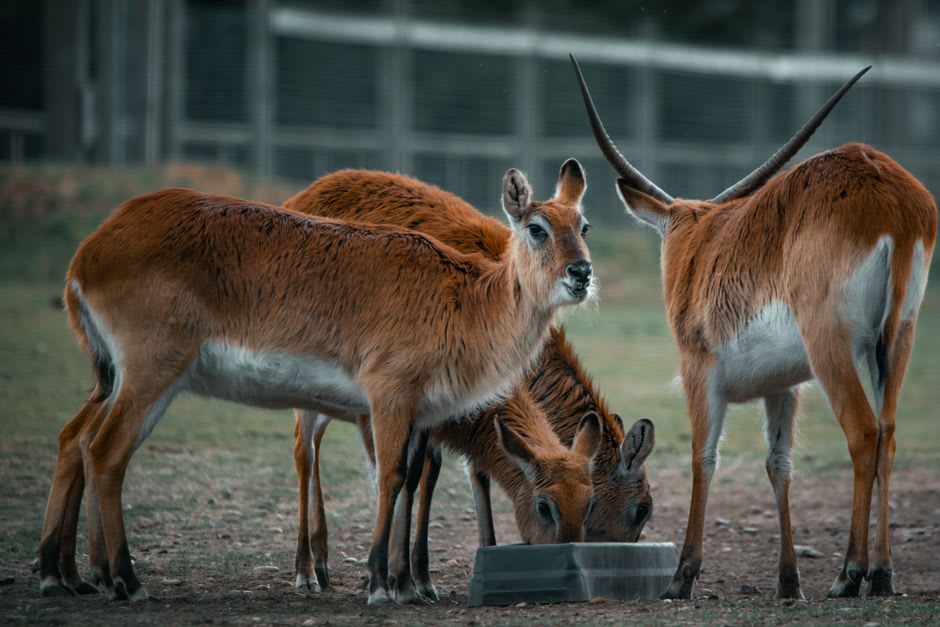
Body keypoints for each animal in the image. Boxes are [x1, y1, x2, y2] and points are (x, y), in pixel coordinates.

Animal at [36, 162, 596, 605]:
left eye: (583, 224)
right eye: (537, 228)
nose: (582, 272)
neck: (464, 300)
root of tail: (89, 252)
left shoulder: (419, 415)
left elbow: (412, 479)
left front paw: (408, 585)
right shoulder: (388, 398)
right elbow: (390, 478)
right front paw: (380, 584)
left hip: (121, 380)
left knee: (80, 440)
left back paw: (64, 575)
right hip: (151, 374)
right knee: (105, 451)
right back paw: (124, 581)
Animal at [285, 168, 655, 598]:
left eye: (585, 226)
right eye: (641, 509)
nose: (582, 272)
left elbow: (458, 472)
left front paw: (430, 573)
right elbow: (404, 474)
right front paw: (397, 579)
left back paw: (324, 561)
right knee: (304, 450)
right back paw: (306, 570)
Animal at [573, 55, 936, 599]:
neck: (701, 242)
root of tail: (890, 197)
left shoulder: (700, 373)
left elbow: (703, 456)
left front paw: (682, 576)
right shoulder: (784, 386)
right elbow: (778, 464)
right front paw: (788, 582)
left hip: (832, 347)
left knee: (863, 432)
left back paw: (849, 574)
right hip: (895, 340)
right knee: (889, 435)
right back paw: (883, 574)